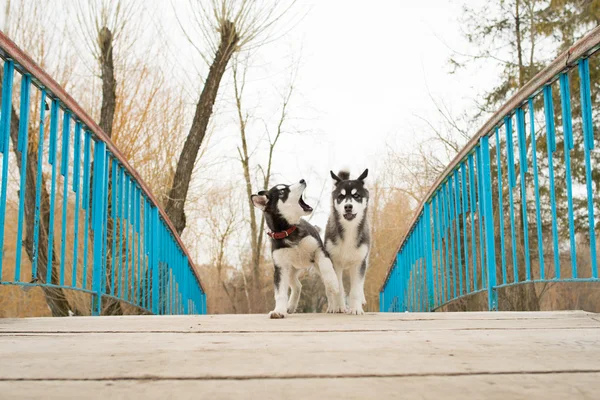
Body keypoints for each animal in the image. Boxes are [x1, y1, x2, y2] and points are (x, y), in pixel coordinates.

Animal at [251, 180, 340, 318]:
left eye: (286, 185)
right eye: (282, 191)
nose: (302, 180)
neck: (288, 231)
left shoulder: (319, 250)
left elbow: (327, 269)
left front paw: (333, 283)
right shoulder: (280, 267)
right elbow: (280, 293)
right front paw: (278, 310)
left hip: (315, 266)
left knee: (325, 285)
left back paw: (333, 305)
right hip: (291, 270)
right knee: (297, 285)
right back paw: (291, 306)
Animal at [326, 169, 368, 316]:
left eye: (356, 195)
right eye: (341, 196)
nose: (348, 206)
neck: (349, 230)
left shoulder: (359, 263)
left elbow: (356, 289)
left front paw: (356, 309)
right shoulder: (334, 263)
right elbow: (338, 288)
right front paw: (339, 307)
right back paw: (332, 306)